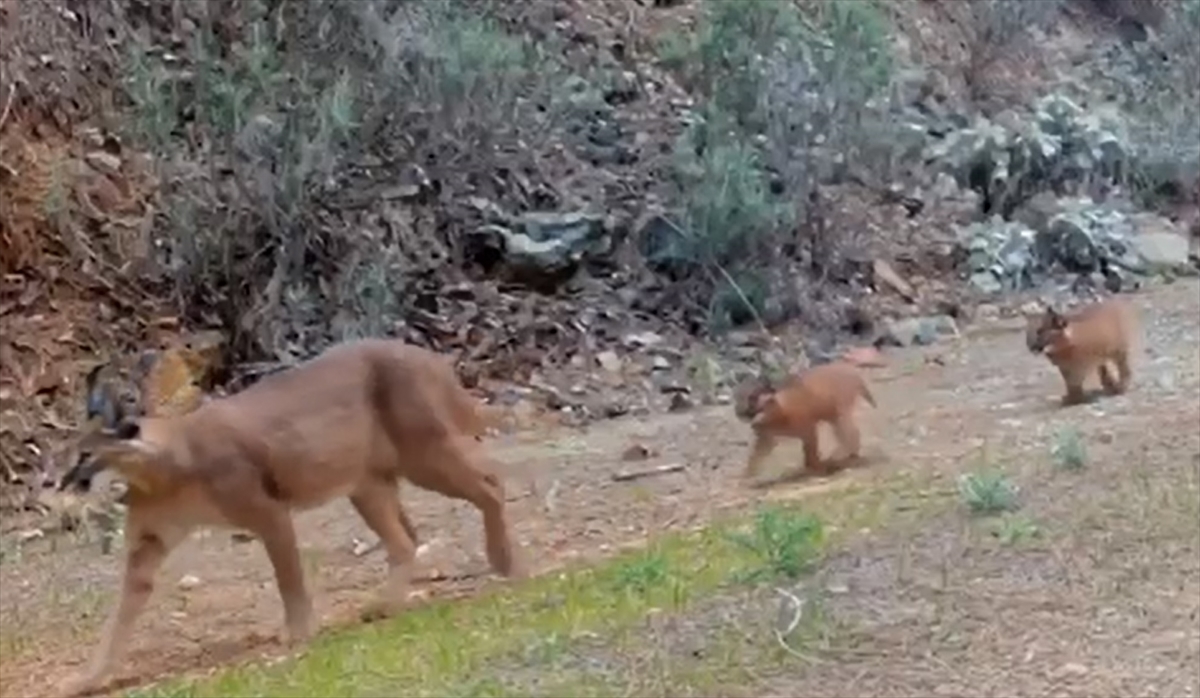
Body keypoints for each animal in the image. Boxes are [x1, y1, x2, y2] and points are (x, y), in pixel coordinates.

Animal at [56, 340, 523, 698]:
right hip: (367, 482)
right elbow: (121, 613)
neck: (162, 472)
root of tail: (427, 355)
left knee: (490, 484)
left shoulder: (270, 513)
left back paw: (505, 562)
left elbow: (287, 576)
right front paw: (90, 677)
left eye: (85, 456)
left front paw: (297, 632)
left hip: (423, 453)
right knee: (407, 537)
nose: (59, 481)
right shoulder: (148, 542)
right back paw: (386, 604)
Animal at [734, 362, 878, 482]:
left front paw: (816, 467)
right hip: (832, 415)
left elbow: (810, 450)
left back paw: (845, 457)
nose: (739, 413)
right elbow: (756, 456)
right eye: (739, 398)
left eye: (752, 400)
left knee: (851, 434)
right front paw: (747, 475)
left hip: (839, 412)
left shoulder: (808, 429)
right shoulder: (766, 437)